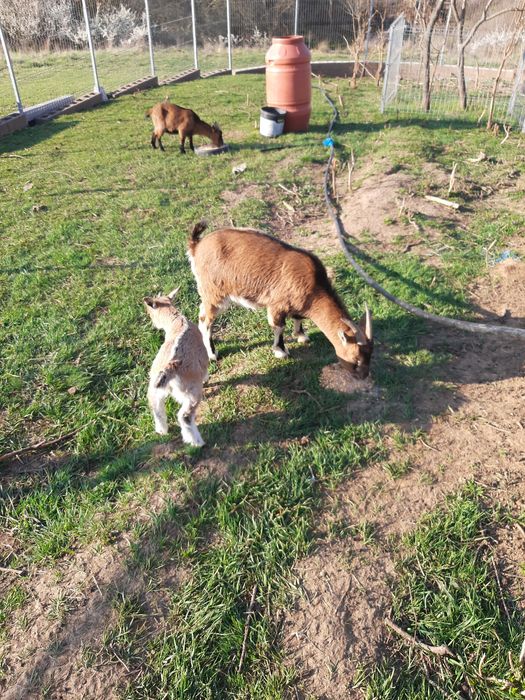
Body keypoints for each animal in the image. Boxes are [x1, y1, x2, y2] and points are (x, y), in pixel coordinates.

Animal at [144, 288, 209, 446]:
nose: (153, 323)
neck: (176, 322)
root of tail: (170, 367)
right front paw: (207, 378)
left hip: (154, 385)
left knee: (155, 406)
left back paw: (162, 430)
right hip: (192, 391)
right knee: (184, 416)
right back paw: (196, 442)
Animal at [187, 223, 373, 379]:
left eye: (370, 356)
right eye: (356, 360)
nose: (364, 376)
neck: (315, 285)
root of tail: (197, 246)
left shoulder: (299, 302)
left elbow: (298, 318)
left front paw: (302, 336)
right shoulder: (277, 304)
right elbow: (279, 327)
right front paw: (281, 351)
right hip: (214, 292)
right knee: (205, 320)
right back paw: (212, 354)